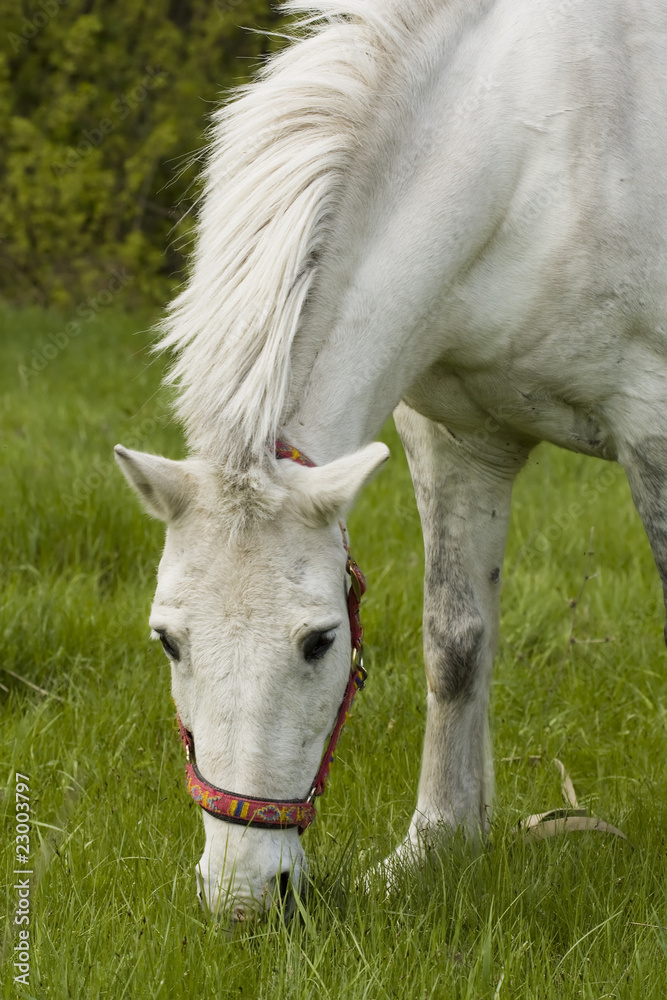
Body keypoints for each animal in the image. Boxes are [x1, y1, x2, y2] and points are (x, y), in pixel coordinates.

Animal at [115, 0, 667, 921]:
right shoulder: (453, 439)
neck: (536, 153)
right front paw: (435, 843)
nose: (243, 900)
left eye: (318, 642)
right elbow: (455, 641)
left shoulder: (651, 430)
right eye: (167, 641)